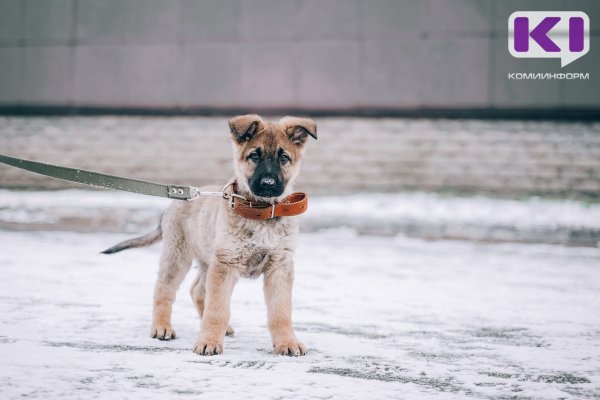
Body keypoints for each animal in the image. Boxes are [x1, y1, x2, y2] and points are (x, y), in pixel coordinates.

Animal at [102, 115, 318, 356]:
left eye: (283, 158)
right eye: (254, 155)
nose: (268, 184)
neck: (261, 213)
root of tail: (175, 202)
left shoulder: (279, 267)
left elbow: (280, 311)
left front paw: (287, 342)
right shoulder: (226, 265)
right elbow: (217, 309)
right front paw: (209, 341)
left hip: (207, 261)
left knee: (197, 290)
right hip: (178, 257)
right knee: (164, 289)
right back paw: (161, 327)